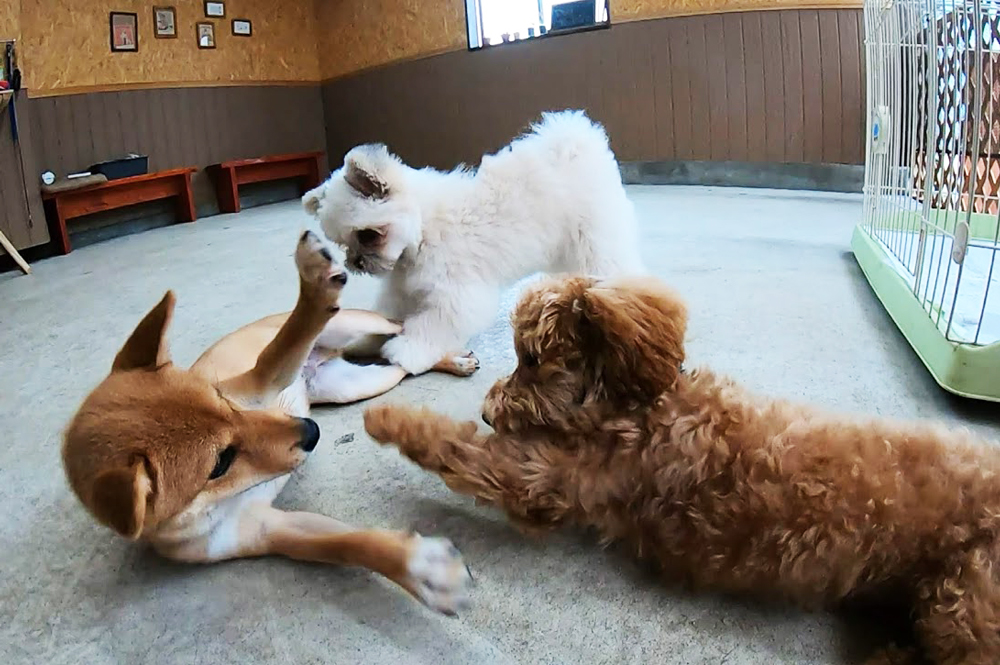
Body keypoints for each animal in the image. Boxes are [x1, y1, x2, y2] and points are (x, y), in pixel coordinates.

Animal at [304, 111, 644, 376]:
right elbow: (388, 316)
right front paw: (369, 339)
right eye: (343, 244)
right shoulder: (404, 290)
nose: (356, 262)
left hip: (595, 243)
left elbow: (430, 325)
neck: (422, 230)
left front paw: (407, 349)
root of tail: (576, 144)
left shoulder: (455, 294)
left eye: (368, 235)